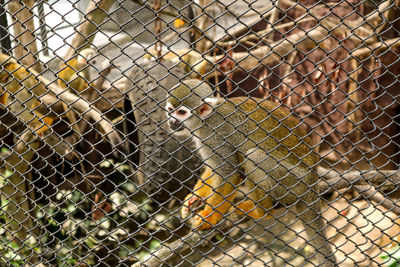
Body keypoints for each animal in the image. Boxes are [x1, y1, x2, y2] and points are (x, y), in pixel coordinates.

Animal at [164, 80, 336, 267]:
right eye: (170, 110)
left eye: (181, 112)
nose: (172, 120)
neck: (206, 118)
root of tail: (313, 182)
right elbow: (215, 168)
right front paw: (196, 197)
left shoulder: (213, 134)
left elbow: (229, 172)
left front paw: (209, 218)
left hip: (295, 181)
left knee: (252, 156)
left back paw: (261, 212)